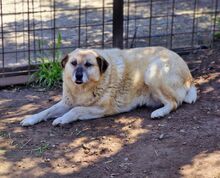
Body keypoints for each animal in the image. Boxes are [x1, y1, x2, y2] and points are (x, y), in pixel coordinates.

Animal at [20, 46, 197, 126]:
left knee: (174, 103)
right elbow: (47, 111)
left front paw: (62, 119)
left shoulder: (102, 109)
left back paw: (159, 112)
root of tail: (189, 76)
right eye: (73, 63)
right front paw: (31, 118)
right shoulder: (66, 103)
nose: (78, 76)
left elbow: (76, 110)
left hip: (151, 73)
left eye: (88, 64)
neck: (83, 90)